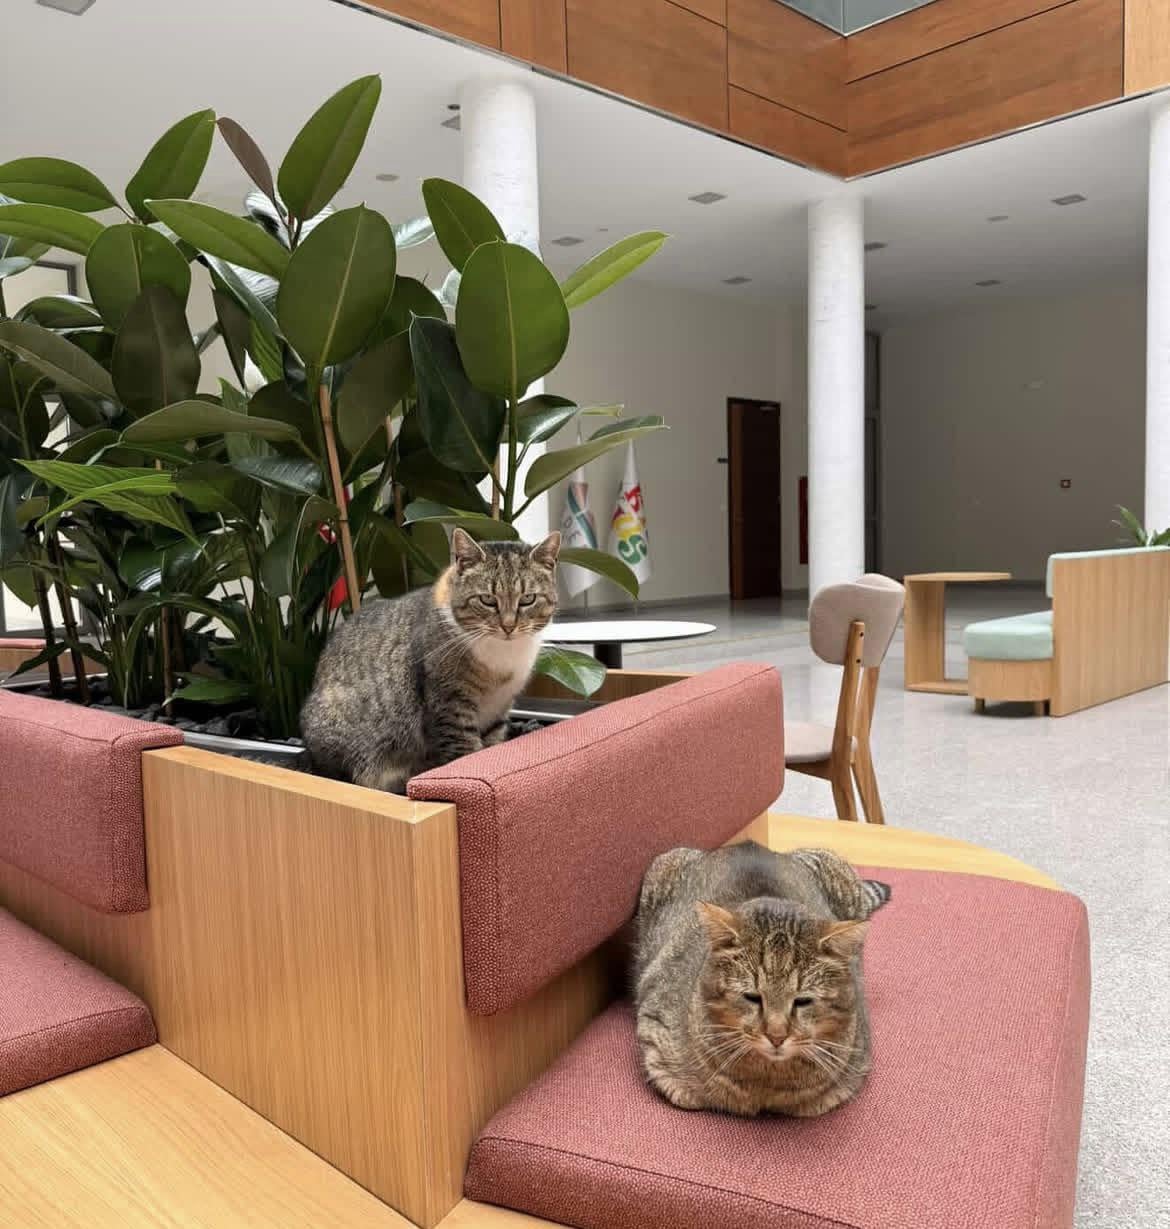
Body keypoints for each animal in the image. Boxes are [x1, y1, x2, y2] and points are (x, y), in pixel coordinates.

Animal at [300, 527, 560, 792]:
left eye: (528, 599)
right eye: (487, 600)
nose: (508, 626)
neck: (503, 655)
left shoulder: (499, 708)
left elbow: (493, 743)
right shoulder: (450, 707)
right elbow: (466, 754)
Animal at [633, 840, 890, 1117]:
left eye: (803, 1001)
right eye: (752, 997)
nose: (776, 1036)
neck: (766, 1086)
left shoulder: (853, 1064)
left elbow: (816, 1101)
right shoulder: (654, 1031)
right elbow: (686, 1094)